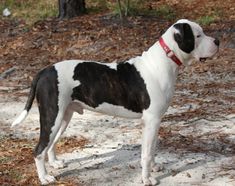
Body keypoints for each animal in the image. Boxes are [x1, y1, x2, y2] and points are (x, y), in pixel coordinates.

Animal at [12, 19, 218, 185]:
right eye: (198, 35)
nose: (217, 41)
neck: (164, 61)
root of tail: (44, 71)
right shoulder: (151, 121)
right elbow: (146, 153)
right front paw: (147, 179)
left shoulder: (155, 122)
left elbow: (152, 149)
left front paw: (154, 168)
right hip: (52, 116)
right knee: (39, 149)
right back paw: (44, 177)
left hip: (63, 116)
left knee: (51, 143)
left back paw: (54, 163)